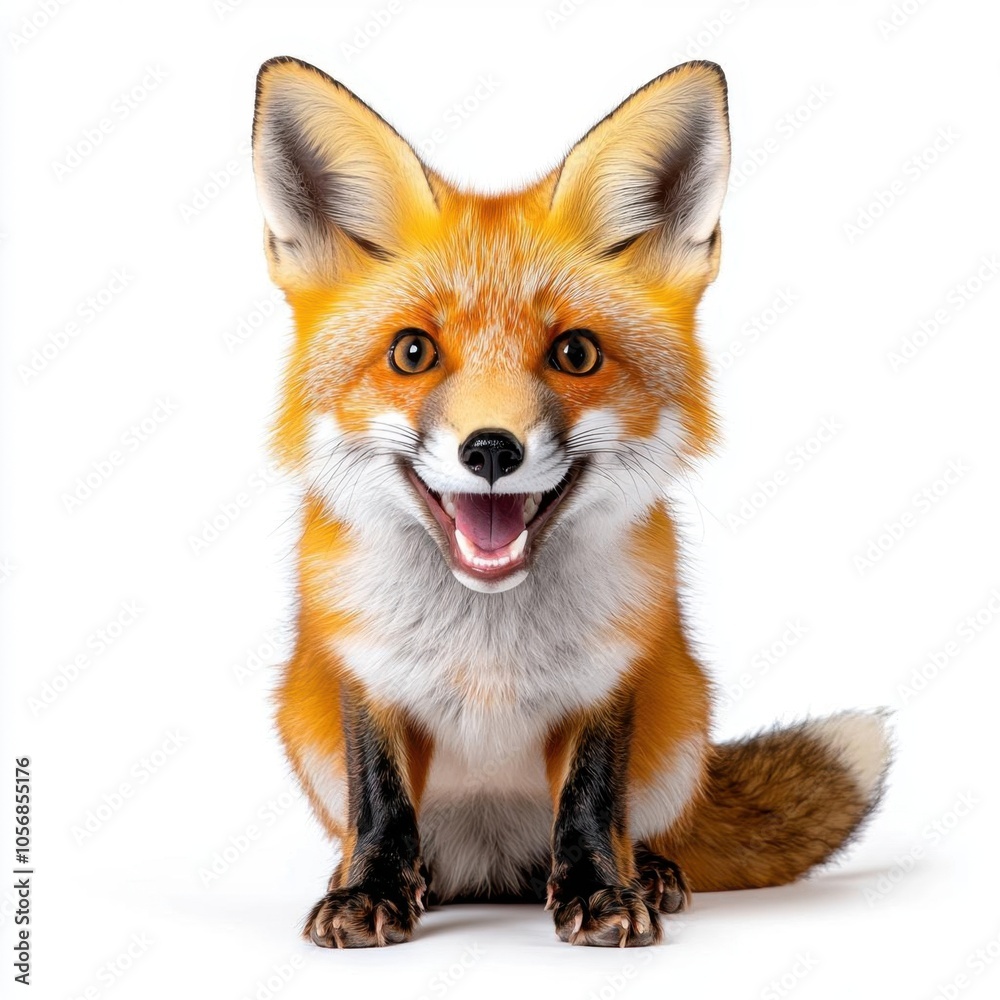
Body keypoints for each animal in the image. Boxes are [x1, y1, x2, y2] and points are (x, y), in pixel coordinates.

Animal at [250, 55, 891, 948]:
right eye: (412, 352)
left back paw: (648, 871)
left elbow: (592, 800)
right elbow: (379, 803)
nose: (491, 449)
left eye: (575, 353)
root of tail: (491, 872)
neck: (486, 643)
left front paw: (601, 892)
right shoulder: (365, 673)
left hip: (681, 718)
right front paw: (369, 891)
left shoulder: (609, 677)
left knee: (634, 827)